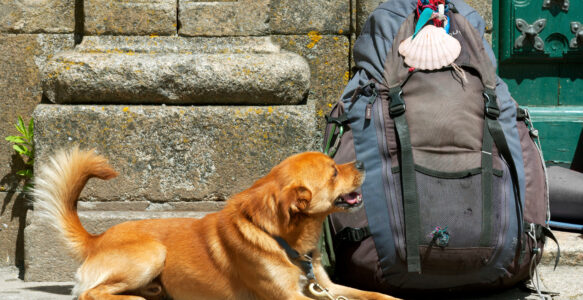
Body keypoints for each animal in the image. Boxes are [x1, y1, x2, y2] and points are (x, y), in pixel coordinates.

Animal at [33, 148, 402, 300]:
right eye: (334, 171)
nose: (364, 162)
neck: (283, 239)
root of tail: (96, 238)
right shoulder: (288, 297)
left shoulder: (327, 286)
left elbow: (373, 293)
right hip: (152, 253)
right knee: (89, 293)